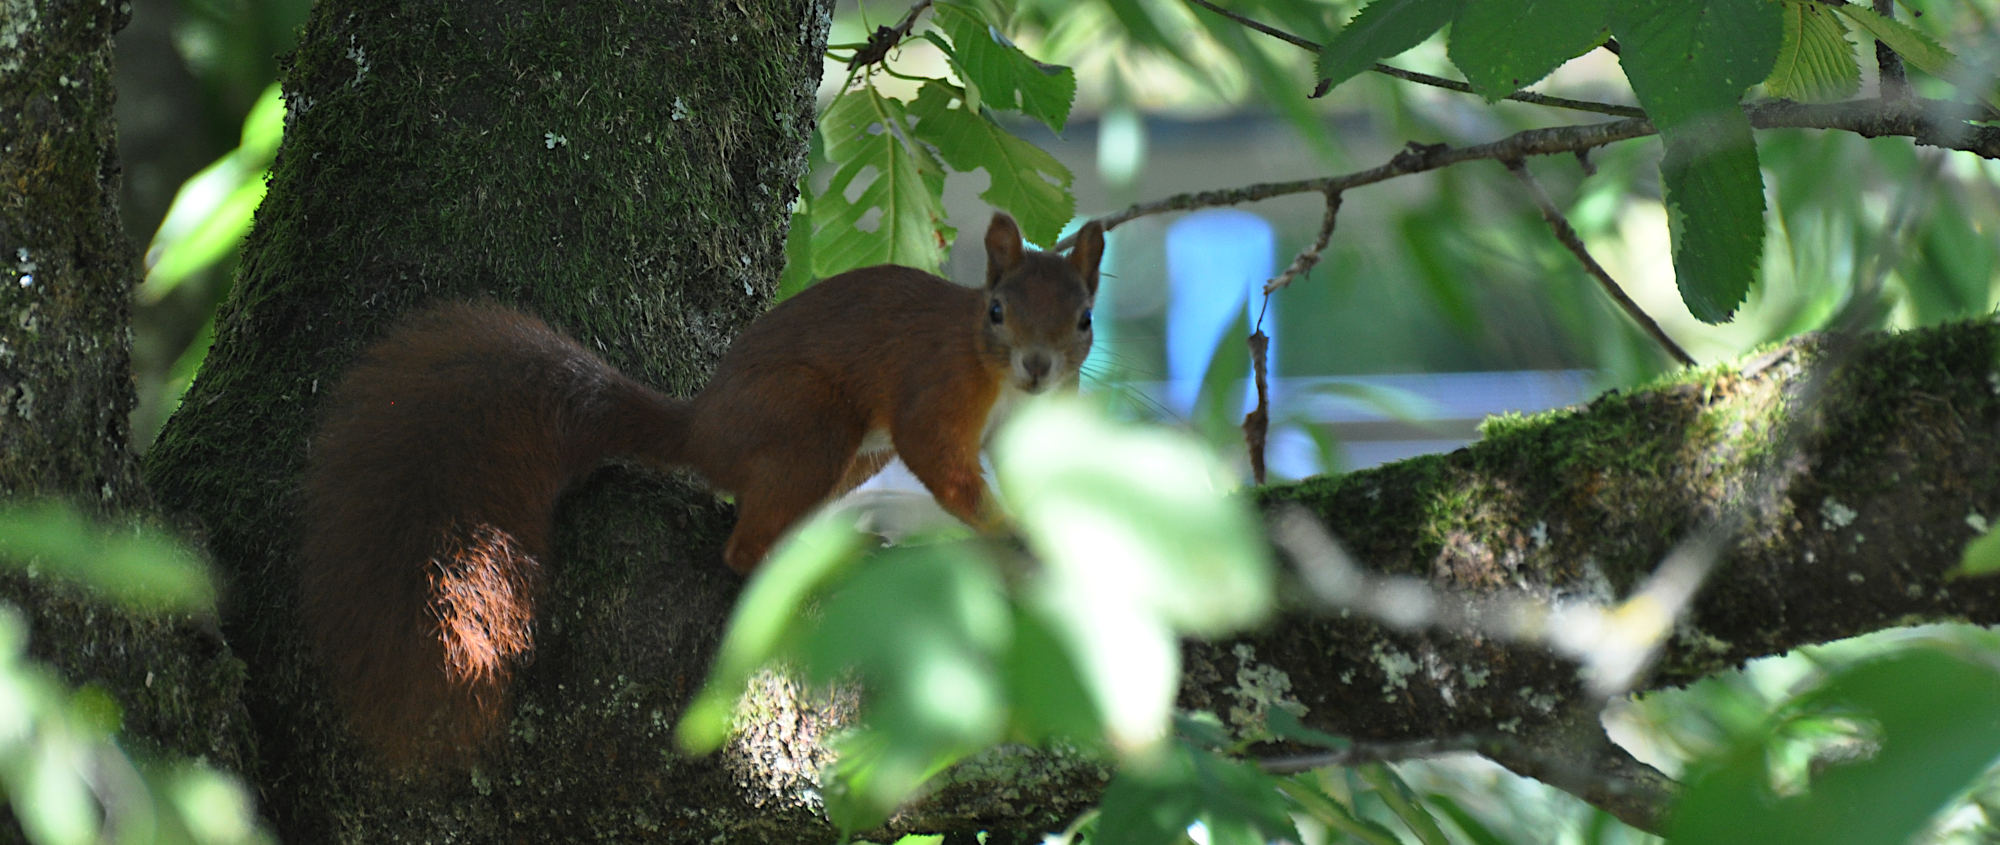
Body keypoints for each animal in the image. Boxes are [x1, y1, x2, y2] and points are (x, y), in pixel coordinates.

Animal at [298, 213, 1112, 764]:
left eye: (1084, 319)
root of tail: (702, 429)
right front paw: (1006, 528)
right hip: (810, 426)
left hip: (840, 455)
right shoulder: (935, 391)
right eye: (997, 311)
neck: (994, 374)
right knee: (743, 549)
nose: (1038, 367)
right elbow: (943, 465)